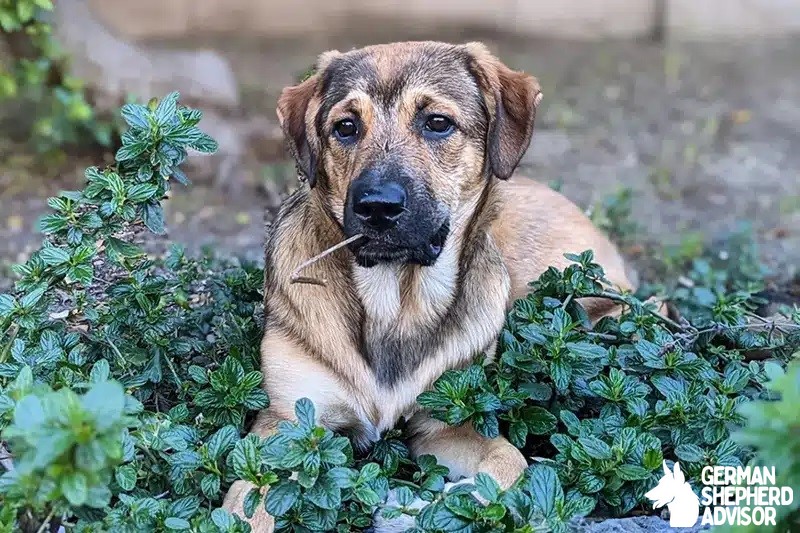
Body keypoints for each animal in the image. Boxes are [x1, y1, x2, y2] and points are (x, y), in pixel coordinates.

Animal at [222, 40, 636, 528]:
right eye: (345, 127)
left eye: (437, 123)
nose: (376, 207)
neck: (396, 300)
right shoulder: (286, 425)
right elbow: (249, 503)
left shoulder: (447, 421)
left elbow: (510, 459)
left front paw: (441, 502)